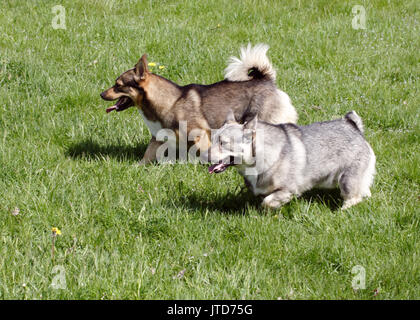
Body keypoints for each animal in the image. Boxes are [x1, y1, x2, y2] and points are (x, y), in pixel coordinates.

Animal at [100, 43, 296, 164]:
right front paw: (137, 167)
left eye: (118, 85)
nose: (101, 94)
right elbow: (147, 155)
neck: (170, 103)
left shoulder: (200, 135)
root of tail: (266, 80)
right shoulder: (158, 138)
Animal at [208, 110, 376, 210]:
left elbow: (267, 201)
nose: (205, 154)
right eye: (213, 139)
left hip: (347, 180)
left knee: (354, 198)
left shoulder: (288, 189)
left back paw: (342, 211)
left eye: (223, 143)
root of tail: (354, 126)